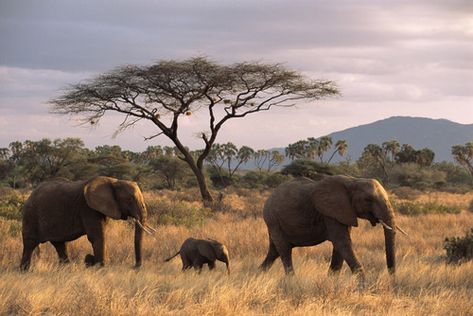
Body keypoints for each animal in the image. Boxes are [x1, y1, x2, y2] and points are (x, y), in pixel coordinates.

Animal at [21, 175, 154, 270]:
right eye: (130, 200)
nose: (135, 267)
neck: (113, 181)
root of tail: (29, 196)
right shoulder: (88, 208)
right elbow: (97, 236)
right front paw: (101, 267)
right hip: (30, 215)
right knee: (30, 243)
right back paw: (24, 271)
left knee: (60, 244)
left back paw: (66, 269)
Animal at [258, 175, 406, 278]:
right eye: (368, 200)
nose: (392, 280)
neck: (353, 181)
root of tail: (267, 201)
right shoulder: (331, 212)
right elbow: (342, 242)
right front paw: (363, 287)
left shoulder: (343, 213)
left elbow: (340, 246)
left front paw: (330, 281)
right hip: (273, 220)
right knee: (284, 250)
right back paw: (293, 281)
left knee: (274, 251)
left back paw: (258, 274)